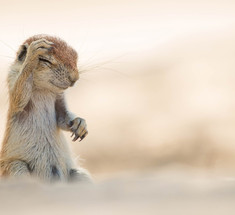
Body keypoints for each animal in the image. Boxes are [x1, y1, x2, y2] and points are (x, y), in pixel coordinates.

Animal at [0, 34, 90, 182]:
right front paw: (32, 54)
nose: (75, 78)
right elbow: (18, 98)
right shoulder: (12, 77)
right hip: (16, 168)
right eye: (44, 59)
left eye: (75, 55)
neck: (43, 88)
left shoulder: (59, 96)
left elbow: (62, 117)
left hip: (80, 174)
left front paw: (80, 123)